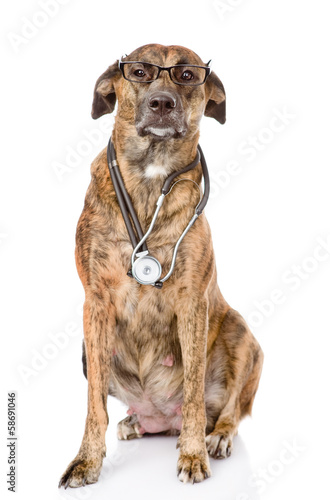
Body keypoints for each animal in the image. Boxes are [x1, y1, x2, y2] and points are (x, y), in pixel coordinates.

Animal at [57, 44, 262, 488]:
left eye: (187, 75)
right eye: (139, 72)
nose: (162, 103)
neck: (152, 175)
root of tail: (160, 417)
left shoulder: (193, 304)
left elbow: (194, 392)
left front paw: (193, 454)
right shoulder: (95, 304)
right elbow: (94, 405)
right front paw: (87, 460)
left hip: (241, 335)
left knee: (229, 411)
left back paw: (215, 437)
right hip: (87, 351)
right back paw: (135, 423)